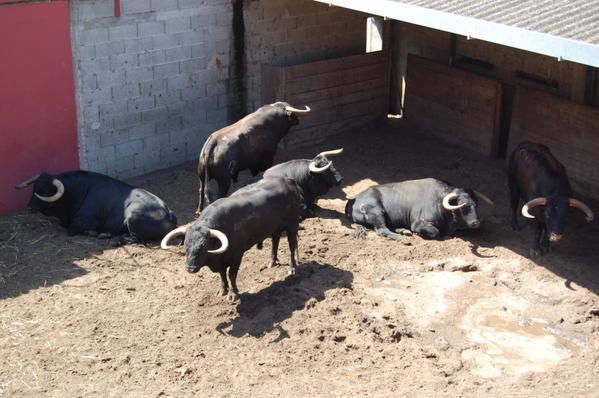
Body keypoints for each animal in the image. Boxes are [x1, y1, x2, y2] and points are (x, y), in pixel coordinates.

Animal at [14, 170, 178, 244]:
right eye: (33, 188)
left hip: (132, 218)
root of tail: (169, 213)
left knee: (135, 238)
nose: (29, 207)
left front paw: (93, 232)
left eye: (46, 191)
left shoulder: (81, 222)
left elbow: (71, 230)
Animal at [161, 177, 304, 302]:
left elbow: (232, 274)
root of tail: (288, 180)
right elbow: (222, 274)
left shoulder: (237, 255)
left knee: (292, 246)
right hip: (274, 227)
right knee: (275, 241)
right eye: (186, 246)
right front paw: (222, 290)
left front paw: (233, 293)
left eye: (203, 246)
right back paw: (272, 261)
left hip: (292, 225)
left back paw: (292, 268)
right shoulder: (221, 261)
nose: (190, 268)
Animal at [344, 179, 494, 241]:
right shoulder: (419, 223)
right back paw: (403, 238)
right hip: (377, 212)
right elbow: (436, 233)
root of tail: (353, 200)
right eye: (463, 206)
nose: (476, 223)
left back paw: (403, 230)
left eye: (476, 204)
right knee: (382, 229)